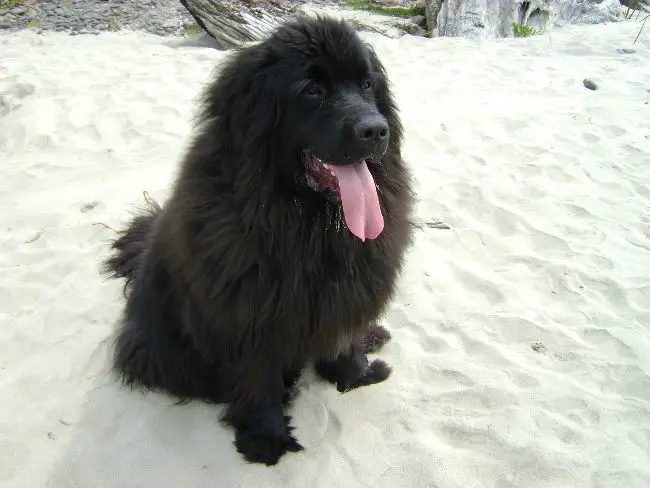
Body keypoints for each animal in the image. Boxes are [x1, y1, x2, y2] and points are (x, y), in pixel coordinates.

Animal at [104, 14, 412, 466]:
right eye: (312, 90)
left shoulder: (346, 289)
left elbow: (343, 338)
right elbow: (257, 376)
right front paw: (265, 437)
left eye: (368, 85)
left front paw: (356, 375)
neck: (307, 225)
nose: (376, 130)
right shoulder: (248, 314)